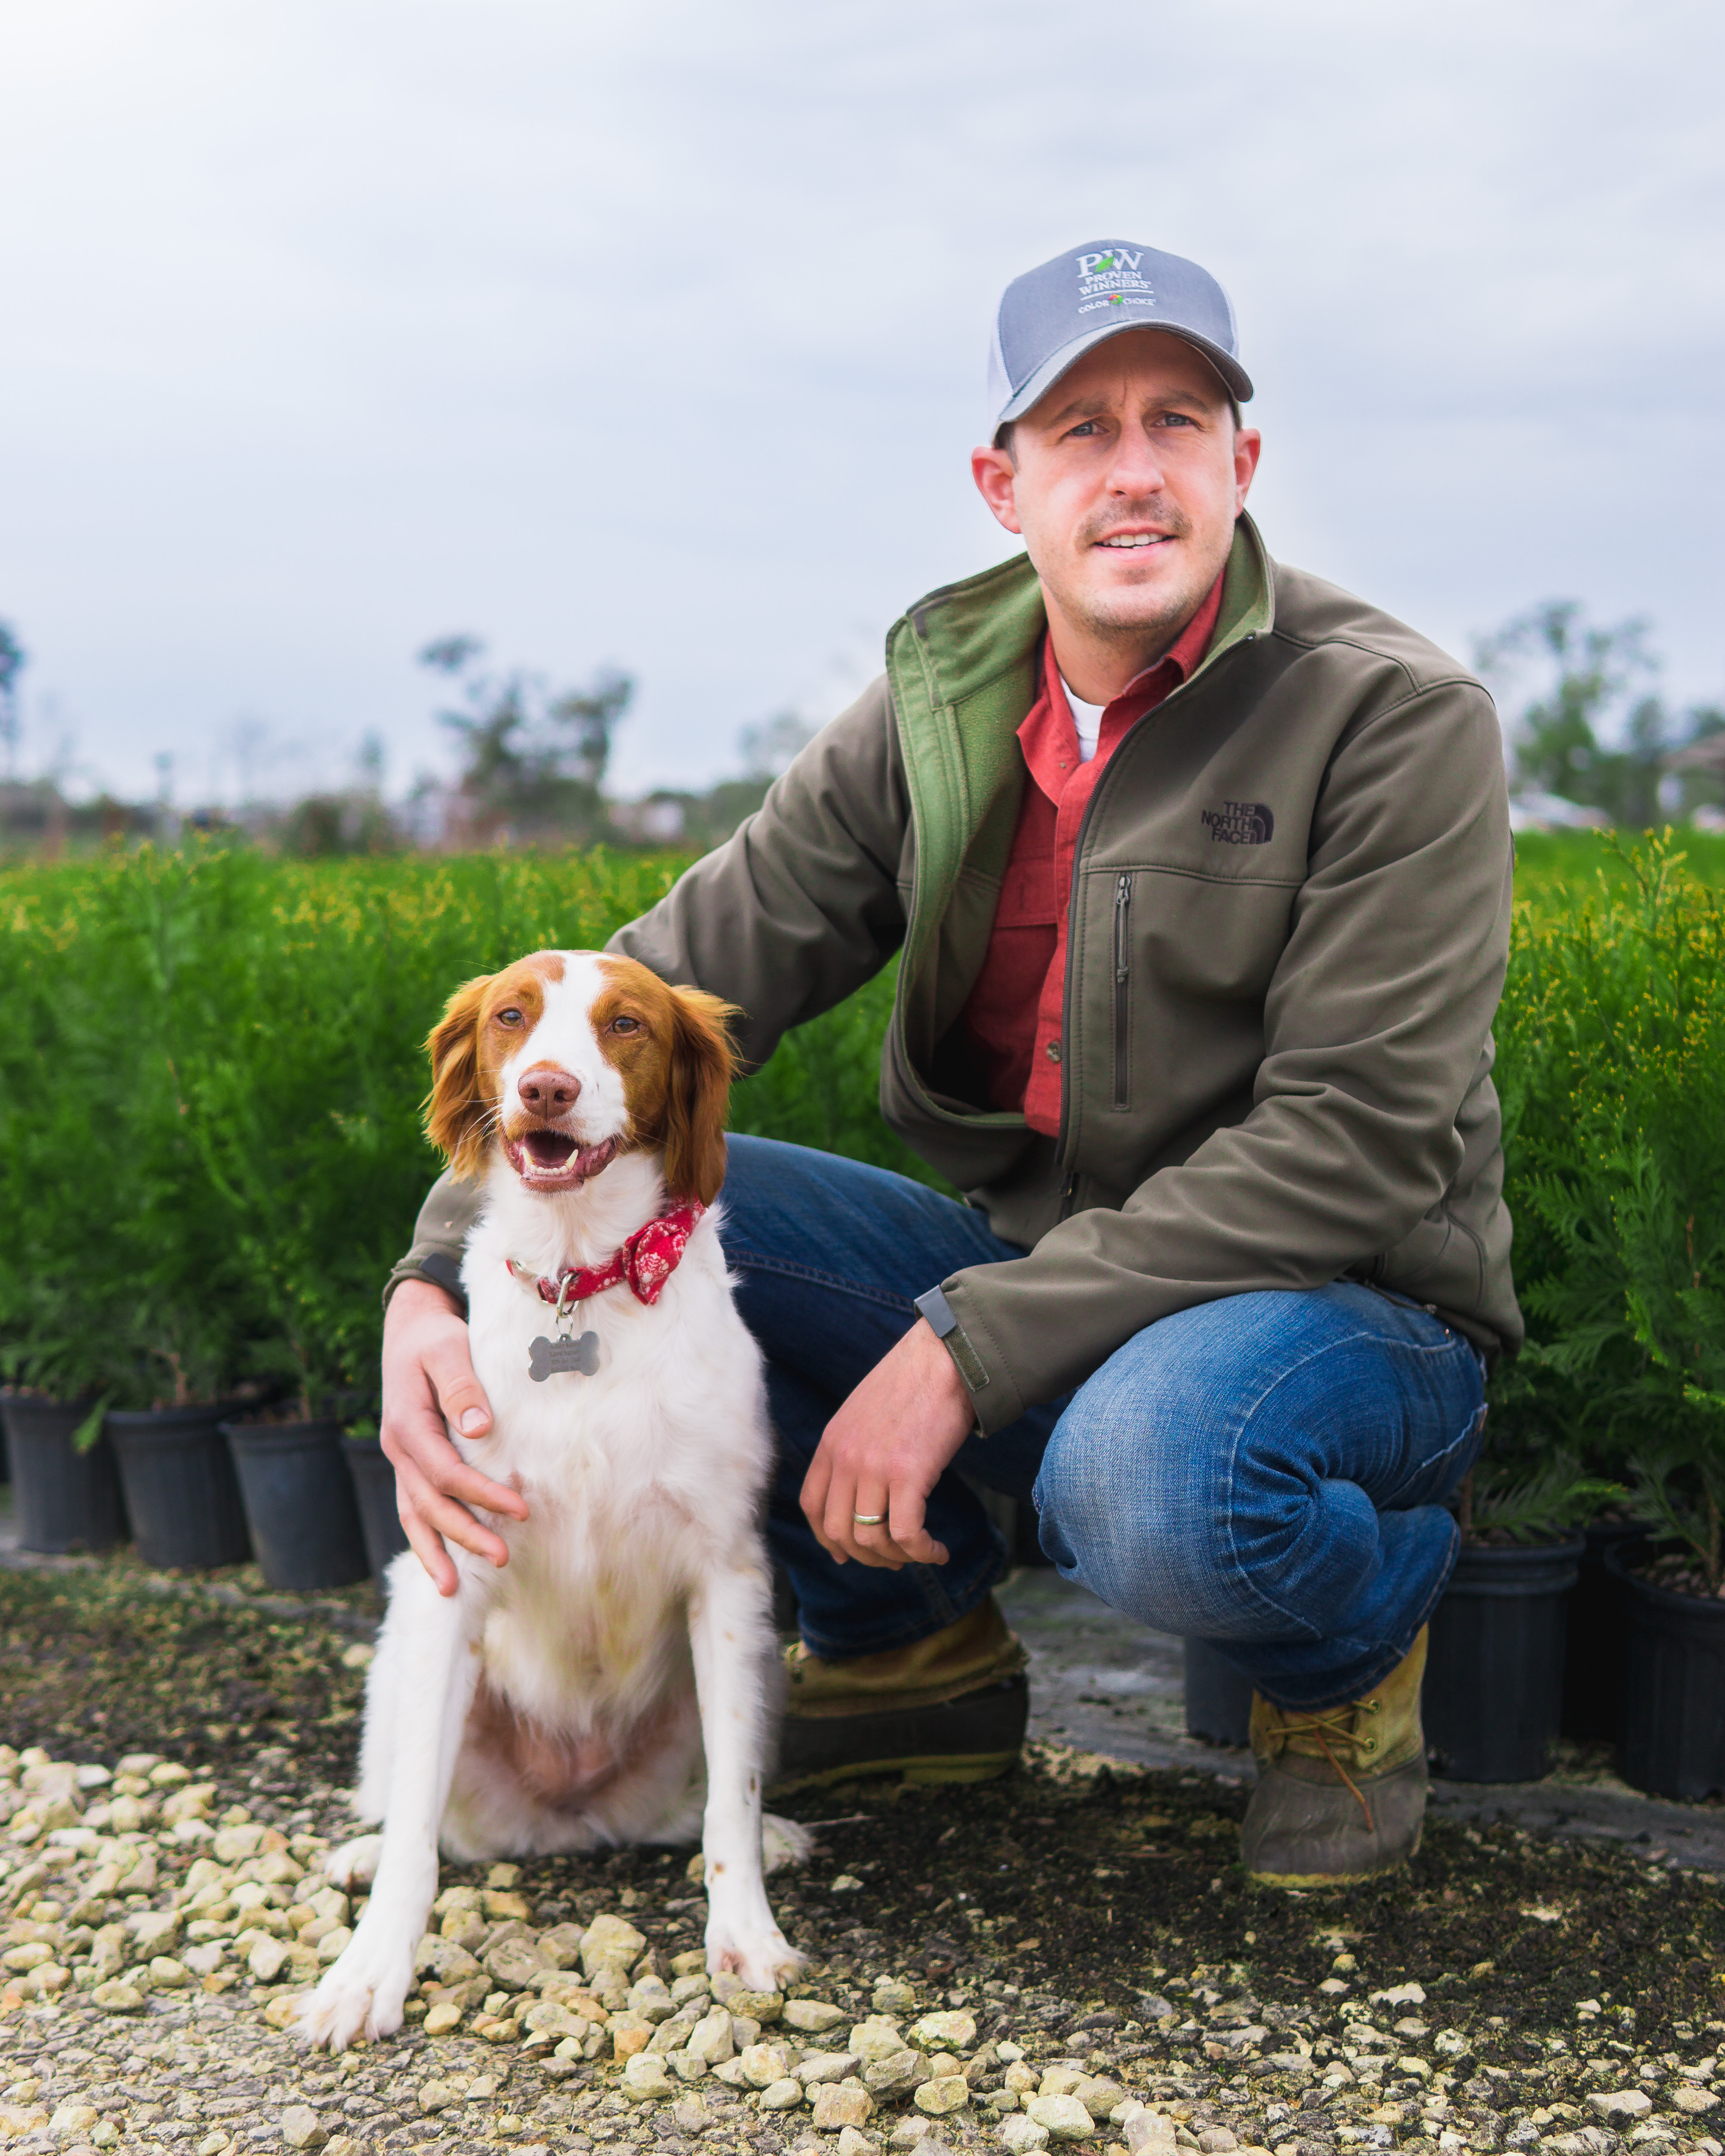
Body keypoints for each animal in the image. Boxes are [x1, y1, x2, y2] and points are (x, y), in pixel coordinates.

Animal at [295, 953, 802, 2044]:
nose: (545, 1088)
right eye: (511, 1017)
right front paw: (366, 1975)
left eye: (626, 1023)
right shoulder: (449, 1563)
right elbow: (416, 1833)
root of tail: (566, 1821)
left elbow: (729, 1801)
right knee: (421, 1813)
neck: (581, 1281)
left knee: (692, 1802)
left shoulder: (729, 1575)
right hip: (401, 1648)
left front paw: (746, 1935)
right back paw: (360, 1851)